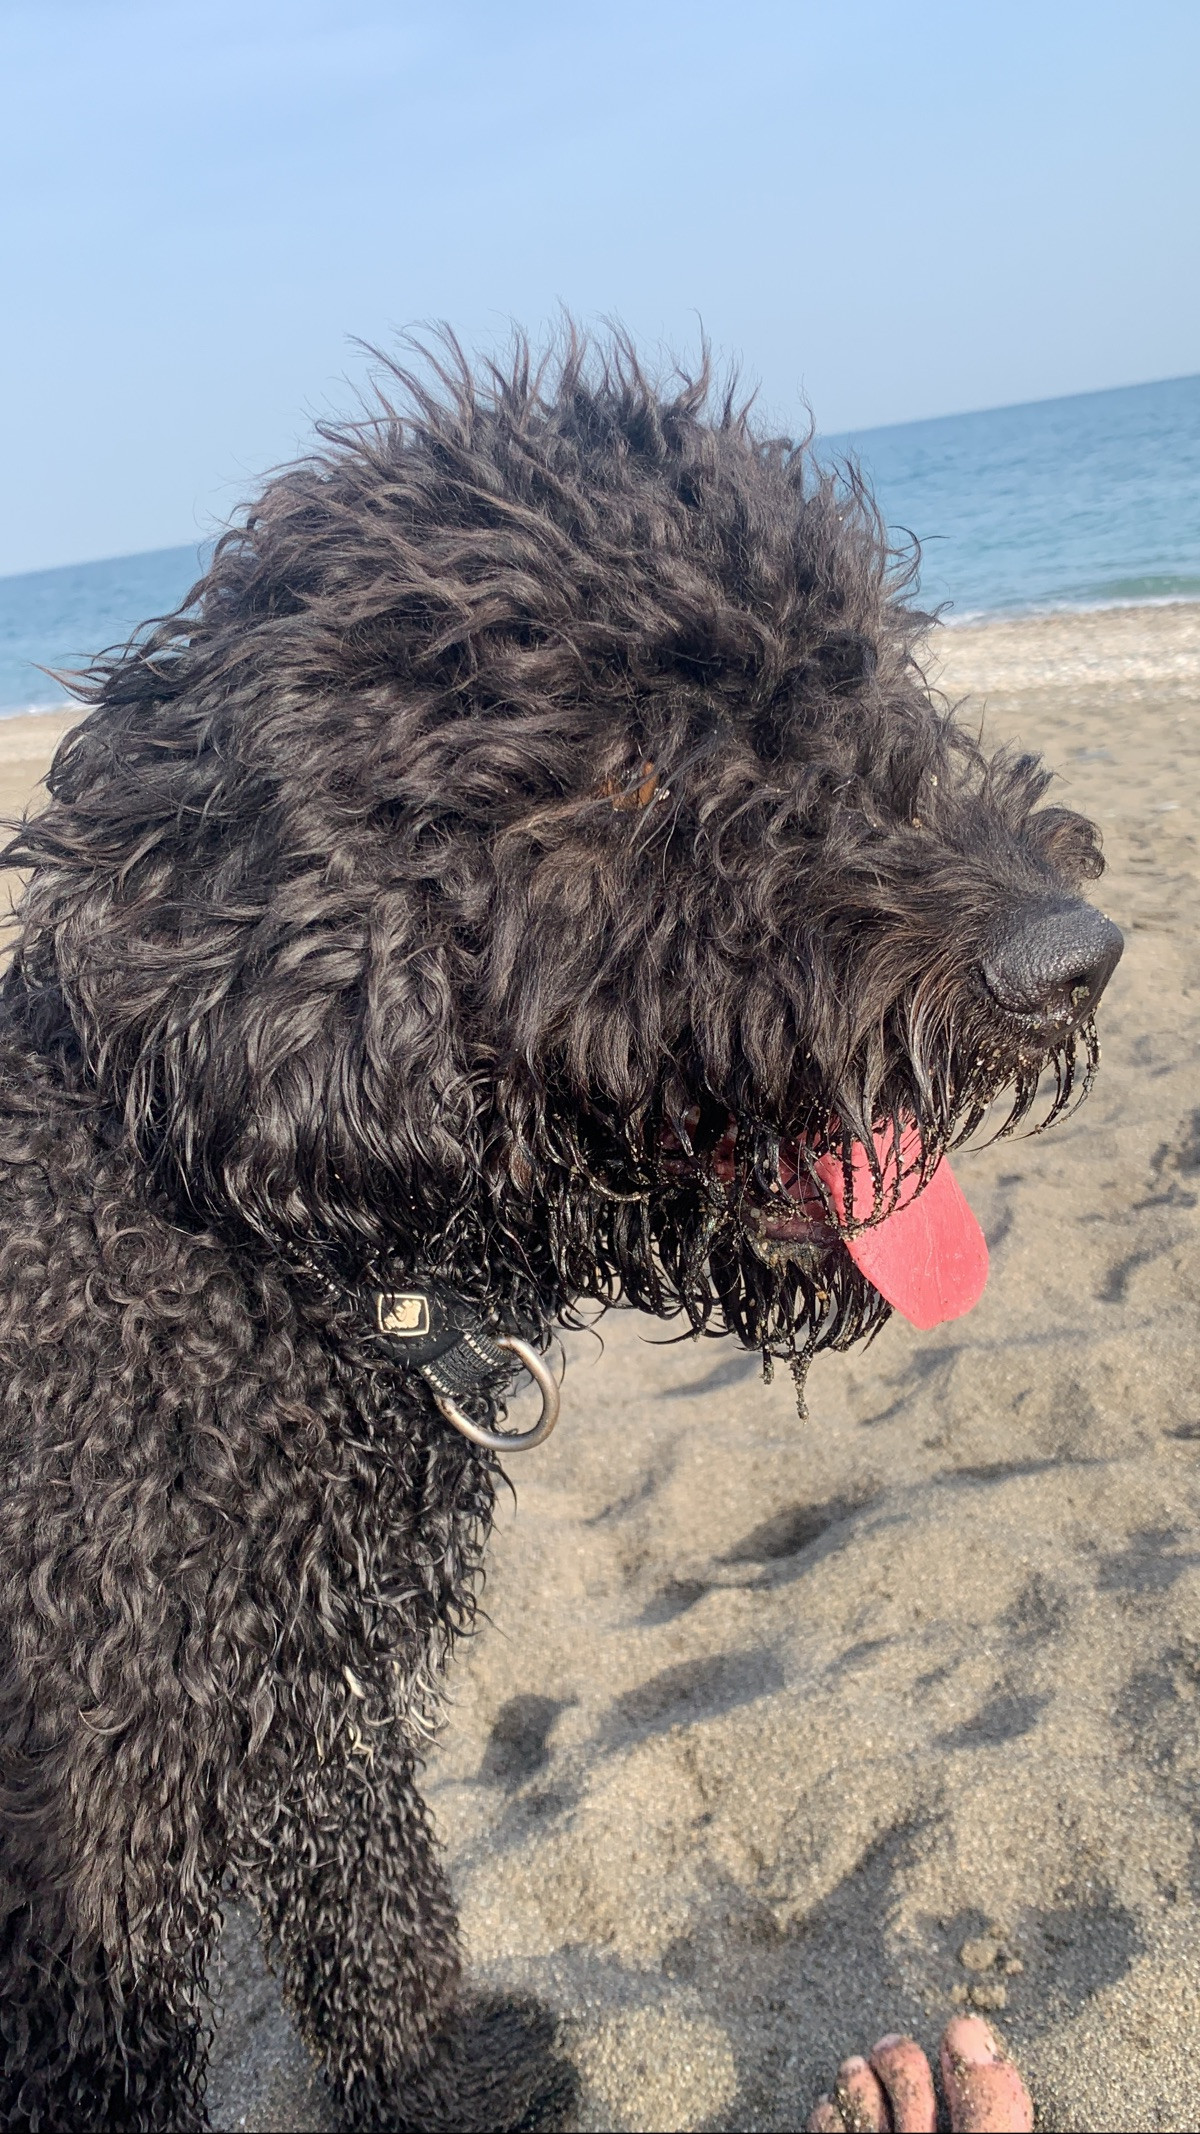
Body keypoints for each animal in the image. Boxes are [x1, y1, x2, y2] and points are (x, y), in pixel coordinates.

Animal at [0, 334, 1122, 2129]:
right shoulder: (93, 1845)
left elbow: (380, 1920)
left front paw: (442, 2086)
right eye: (631, 767)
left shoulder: (304, 1697)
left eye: (857, 671)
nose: (1072, 955)